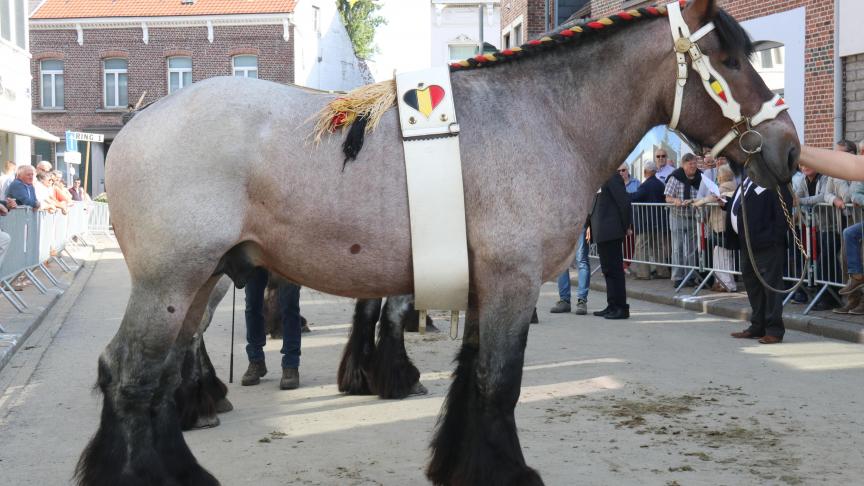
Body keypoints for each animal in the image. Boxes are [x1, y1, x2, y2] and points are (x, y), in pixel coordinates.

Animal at [77, 1, 800, 484]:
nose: (790, 150)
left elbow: (472, 379)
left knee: (157, 375)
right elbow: (498, 383)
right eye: (729, 59)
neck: (540, 119)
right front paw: (505, 472)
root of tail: (140, 121)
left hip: (202, 281)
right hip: (172, 283)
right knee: (132, 374)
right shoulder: (511, 282)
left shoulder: (481, 285)